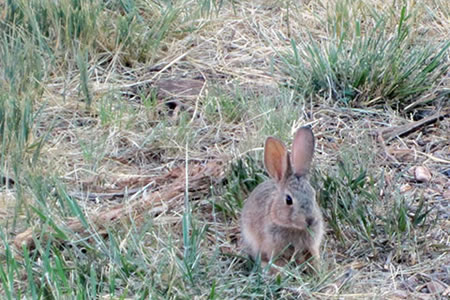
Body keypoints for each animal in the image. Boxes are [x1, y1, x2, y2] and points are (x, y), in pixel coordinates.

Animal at [241, 126, 326, 272]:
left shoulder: (311, 244)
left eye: (313, 195)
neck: (293, 227)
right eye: (288, 200)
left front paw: (317, 269)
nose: (310, 220)